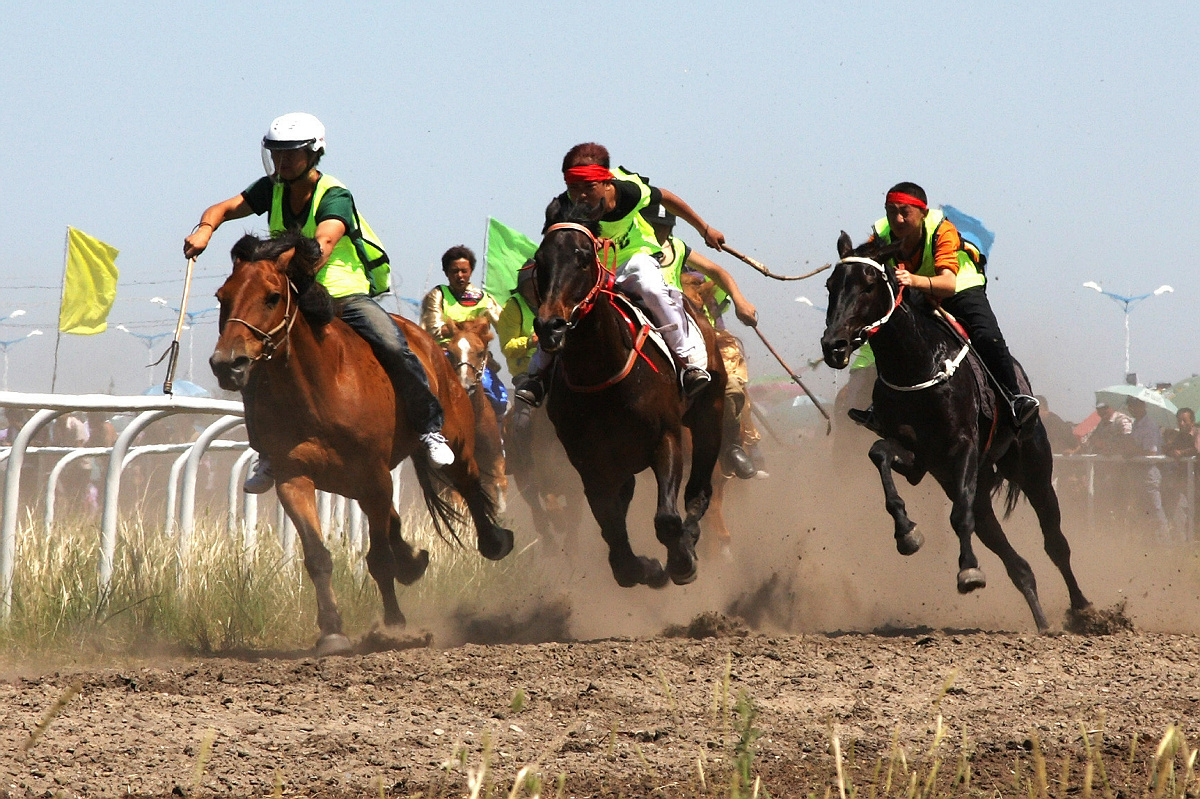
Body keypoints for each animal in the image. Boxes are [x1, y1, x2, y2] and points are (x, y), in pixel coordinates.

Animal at [820, 233, 1094, 633]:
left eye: (869, 285)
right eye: (830, 285)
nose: (834, 346)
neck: (917, 363)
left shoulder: (962, 445)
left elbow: (958, 516)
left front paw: (969, 572)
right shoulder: (918, 459)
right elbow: (879, 453)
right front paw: (907, 533)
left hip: (1033, 468)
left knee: (1055, 542)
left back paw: (1084, 609)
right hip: (974, 486)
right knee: (1017, 563)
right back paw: (1042, 621)